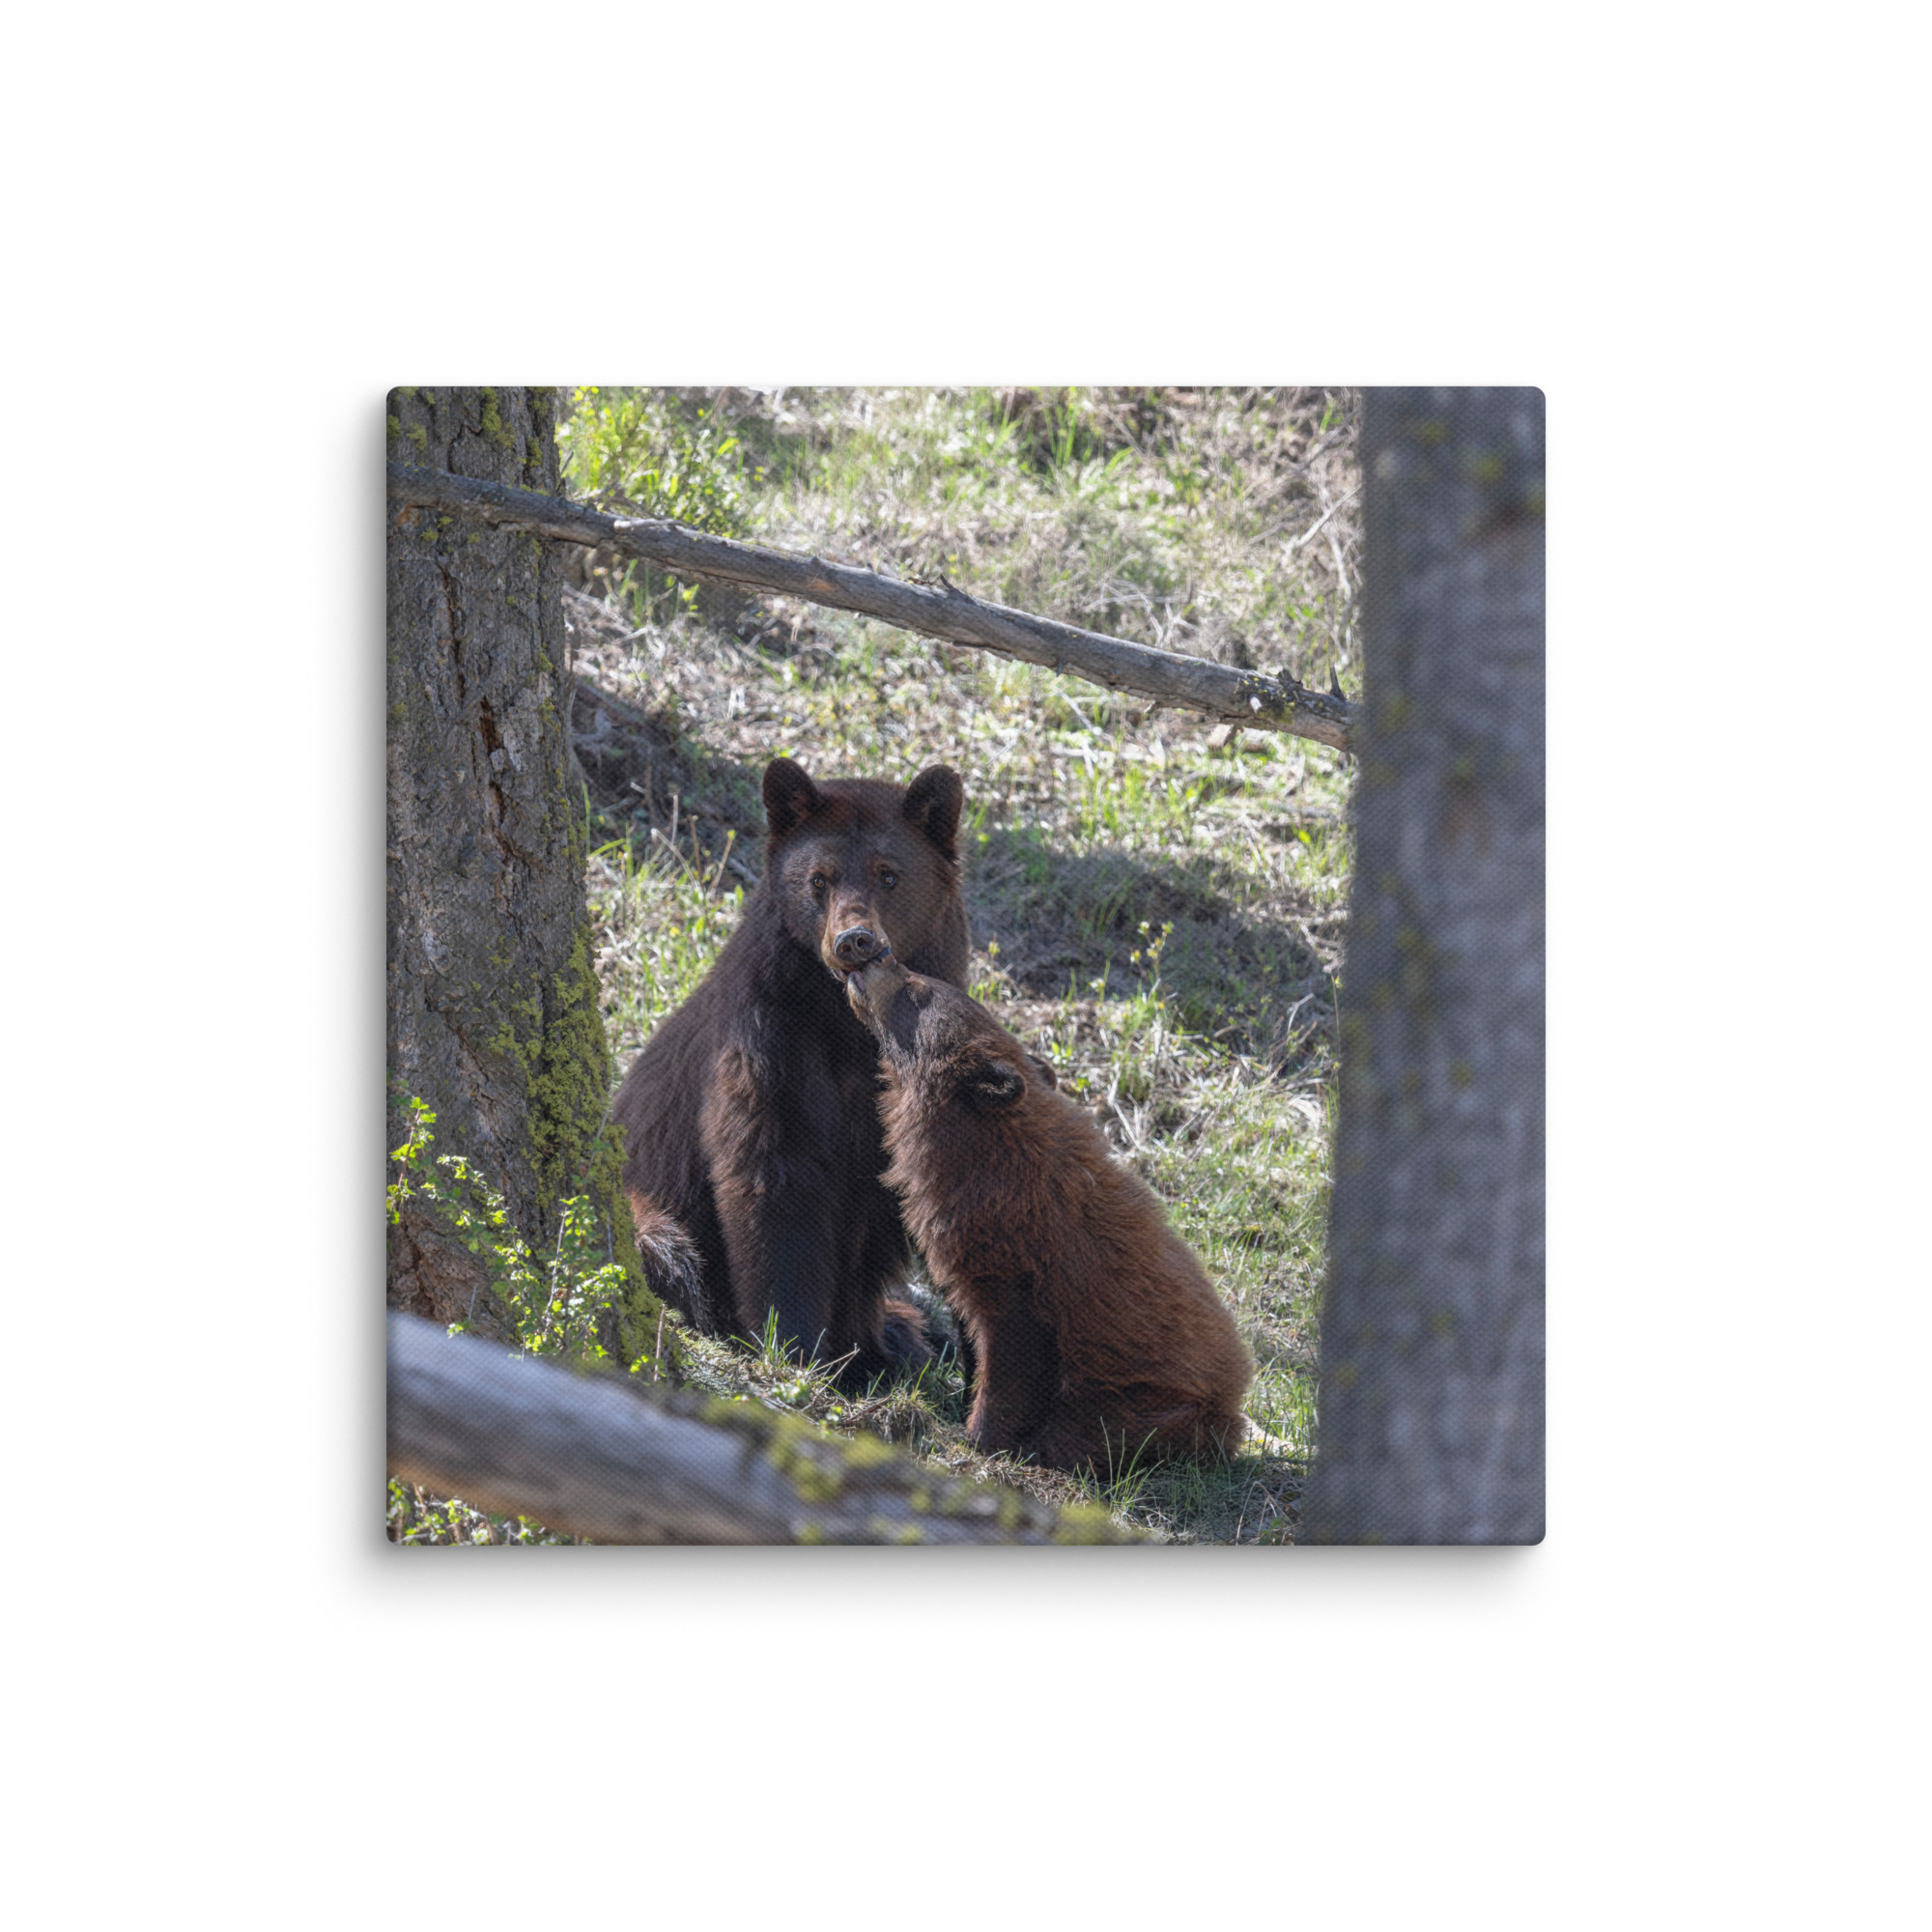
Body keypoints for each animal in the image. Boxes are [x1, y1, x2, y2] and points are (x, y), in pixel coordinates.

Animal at [610, 756, 971, 1387]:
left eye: (889, 875)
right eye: (819, 879)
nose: (855, 941)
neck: (847, 1024)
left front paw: (872, 1346)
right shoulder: (767, 1044)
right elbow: (773, 1180)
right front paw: (795, 1345)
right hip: (647, 1209)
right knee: (669, 1250)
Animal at [843, 950, 1254, 1472]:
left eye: (917, 989)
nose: (879, 956)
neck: (983, 1153)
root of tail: (1234, 1402)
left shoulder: (1020, 1263)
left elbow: (1013, 1352)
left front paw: (979, 1434)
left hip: (1152, 1407)